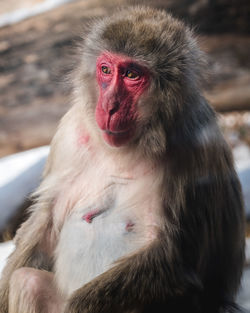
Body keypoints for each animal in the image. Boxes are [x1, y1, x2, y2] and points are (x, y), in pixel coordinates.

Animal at [0, 5, 245, 312]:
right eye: (105, 70)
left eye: (131, 74)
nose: (109, 106)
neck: (130, 146)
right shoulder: (70, 135)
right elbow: (46, 222)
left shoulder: (198, 148)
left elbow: (177, 260)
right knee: (27, 281)